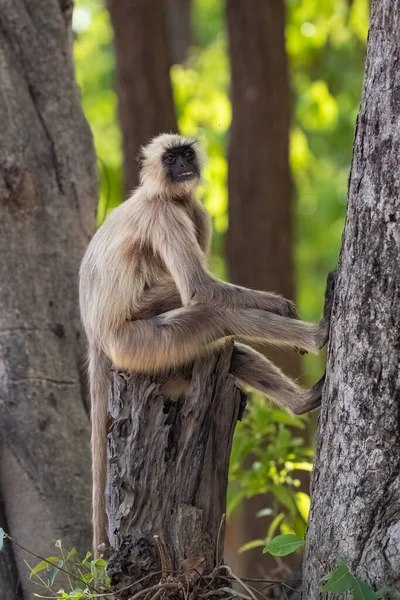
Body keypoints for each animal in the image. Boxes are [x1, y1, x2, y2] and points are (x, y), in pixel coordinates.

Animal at [78, 134, 334, 556]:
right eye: (170, 159)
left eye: (185, 154)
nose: (183, 165)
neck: (161, 194)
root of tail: (96, 337)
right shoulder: (165, 214)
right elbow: (200, 290)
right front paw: (278, 305)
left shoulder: (194, 210)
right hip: (138, 344)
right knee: (216, 316)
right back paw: (319, 335)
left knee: (226, 346)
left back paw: (302, 402)